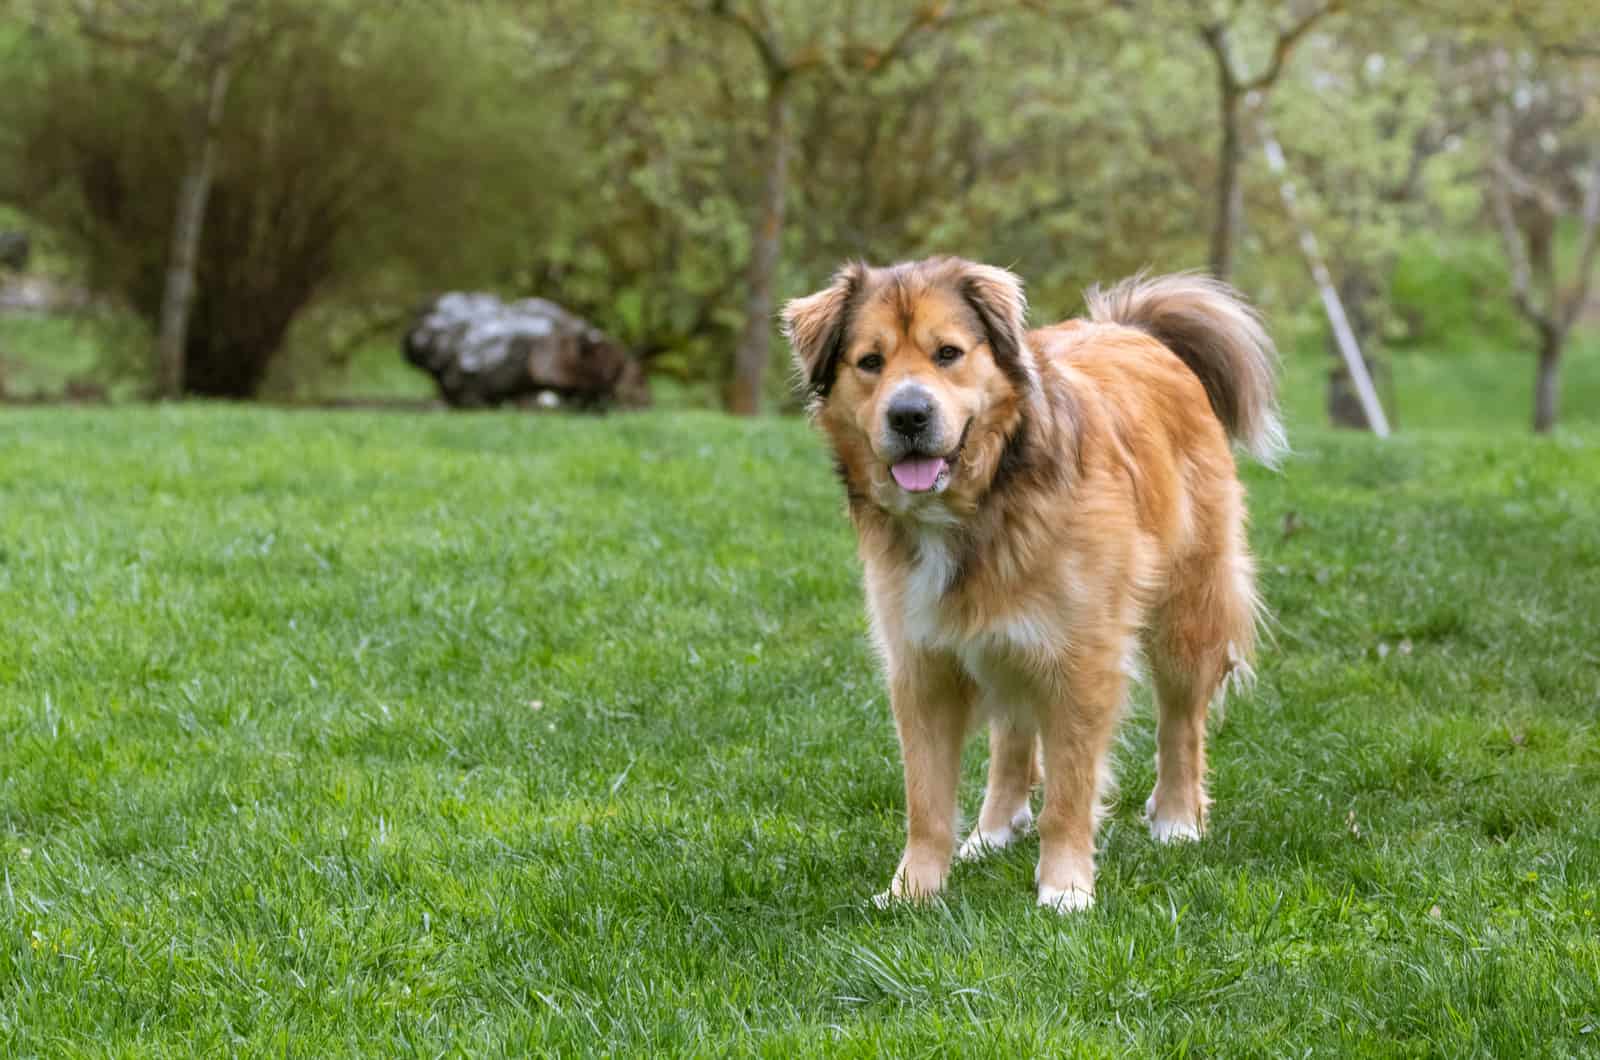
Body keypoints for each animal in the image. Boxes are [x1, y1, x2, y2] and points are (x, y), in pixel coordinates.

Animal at [780, 257, 1280, 915]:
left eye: (948, 353)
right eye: (870, 361)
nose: (909, 415)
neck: (983, 500)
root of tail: (1133, 331)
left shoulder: (1082, 660)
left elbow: (1069, 791)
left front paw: (1064, 887)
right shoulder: (922, 664)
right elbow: (926, 801)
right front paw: (914, 889)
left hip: (1186, 613)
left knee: (1181, 723)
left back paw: (1177, 818)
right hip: (1006, 636)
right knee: (1013, 733)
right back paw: (992, 829)